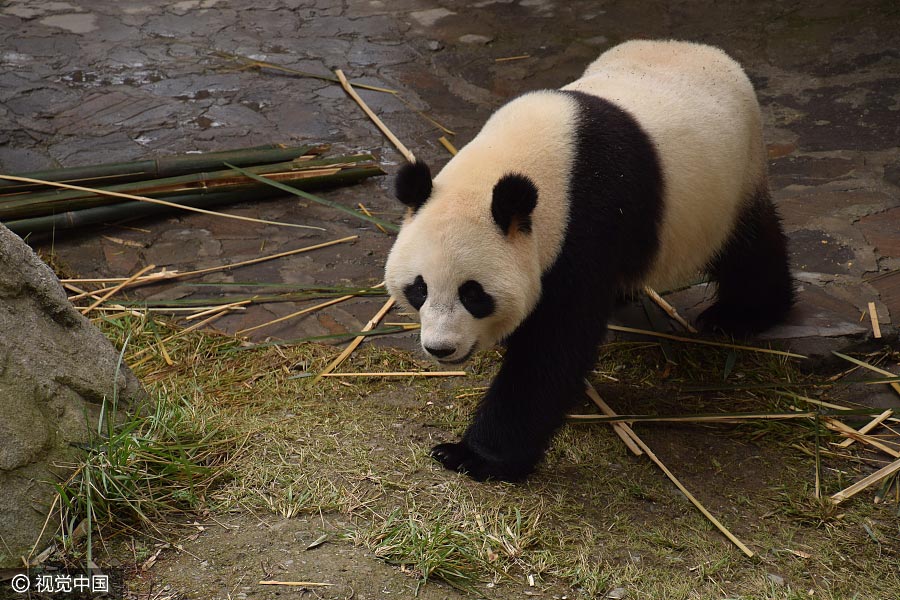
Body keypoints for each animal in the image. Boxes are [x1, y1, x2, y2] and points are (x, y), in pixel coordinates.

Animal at [384, 39, 794, 482]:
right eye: (419, 289)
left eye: (473, 294)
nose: (441, 349)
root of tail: (708, 51)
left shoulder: (586, 223)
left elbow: (554, 347)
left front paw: (475, 456)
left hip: (730, 185)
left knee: (748, 251)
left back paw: (740, 316)